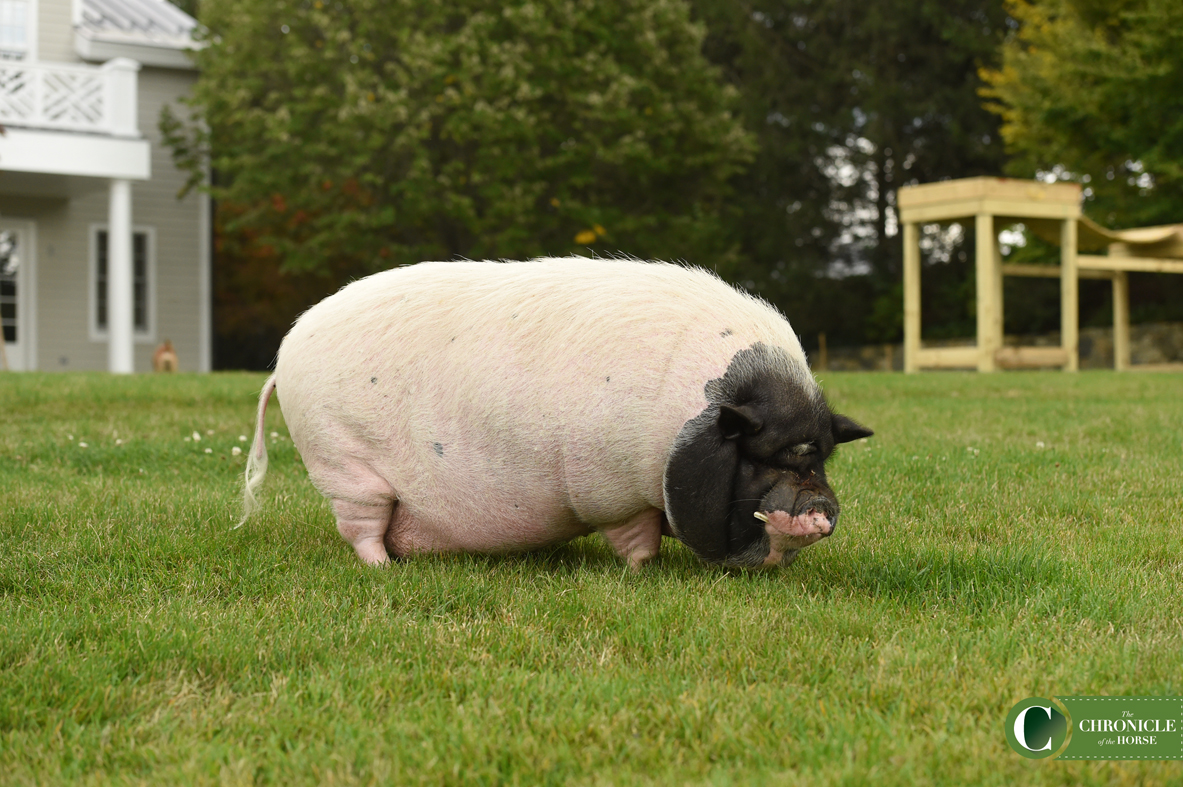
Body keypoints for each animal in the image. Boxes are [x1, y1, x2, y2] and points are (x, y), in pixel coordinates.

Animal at [240, 260, 875, 568]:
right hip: (342, 461)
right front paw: (642, 573)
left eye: (820, 458)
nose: (820, 508)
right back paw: (384, 571)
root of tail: (282, 358)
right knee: (361, 528)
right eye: (764, 458)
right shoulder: (610, 488)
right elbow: (637, 538)